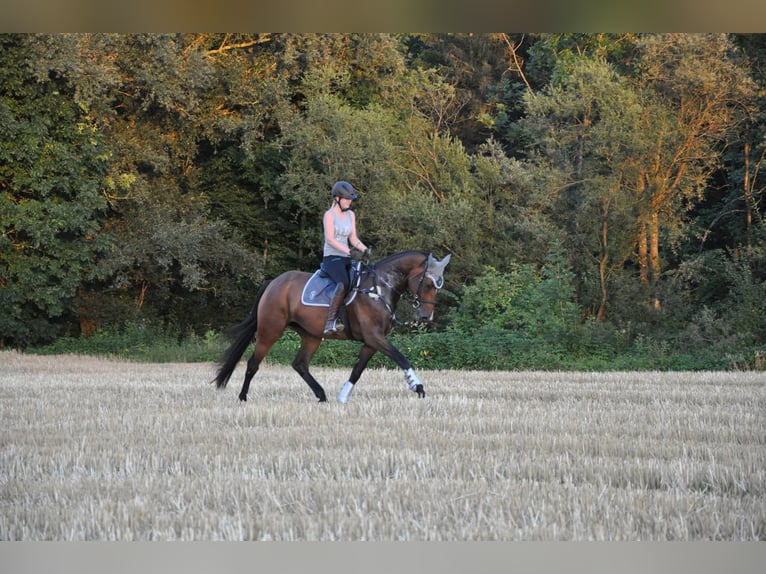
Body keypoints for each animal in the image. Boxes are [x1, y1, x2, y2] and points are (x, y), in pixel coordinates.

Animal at [212, 250, 451, 403]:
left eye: (438, 286)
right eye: (428, 284)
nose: (426, 316)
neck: (379, 289)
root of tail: (273, 283)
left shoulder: (372, 342)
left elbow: (357, 370)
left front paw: (343, 396)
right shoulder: (375, 337)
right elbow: (402, 358)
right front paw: (418, 387)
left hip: (311, 336)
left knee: (300, 364)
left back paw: (321, 395)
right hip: (270, 330)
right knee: (253, 363)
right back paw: (243, 397)